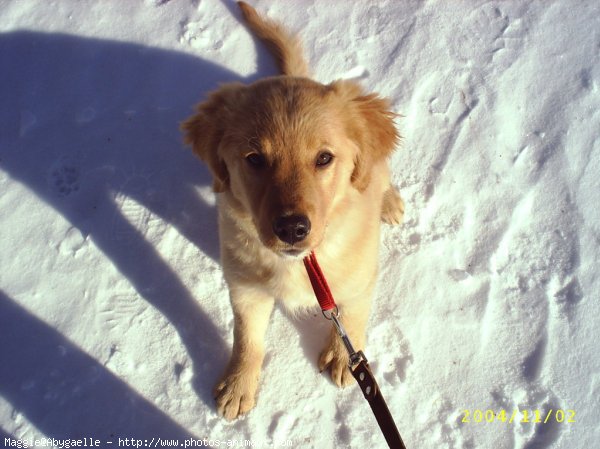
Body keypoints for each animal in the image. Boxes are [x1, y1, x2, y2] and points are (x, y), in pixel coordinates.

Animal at [180, 2, 400, 420]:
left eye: (324, 158)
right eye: (255, 159)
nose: (293, 228)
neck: (305, 263)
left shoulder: (361, 277)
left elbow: (353, 315)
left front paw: (342, 357)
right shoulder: (245, 287)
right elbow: (246, 335)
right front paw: (238, 384)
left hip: (377, 169)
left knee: (380, 175)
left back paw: (391, 201)